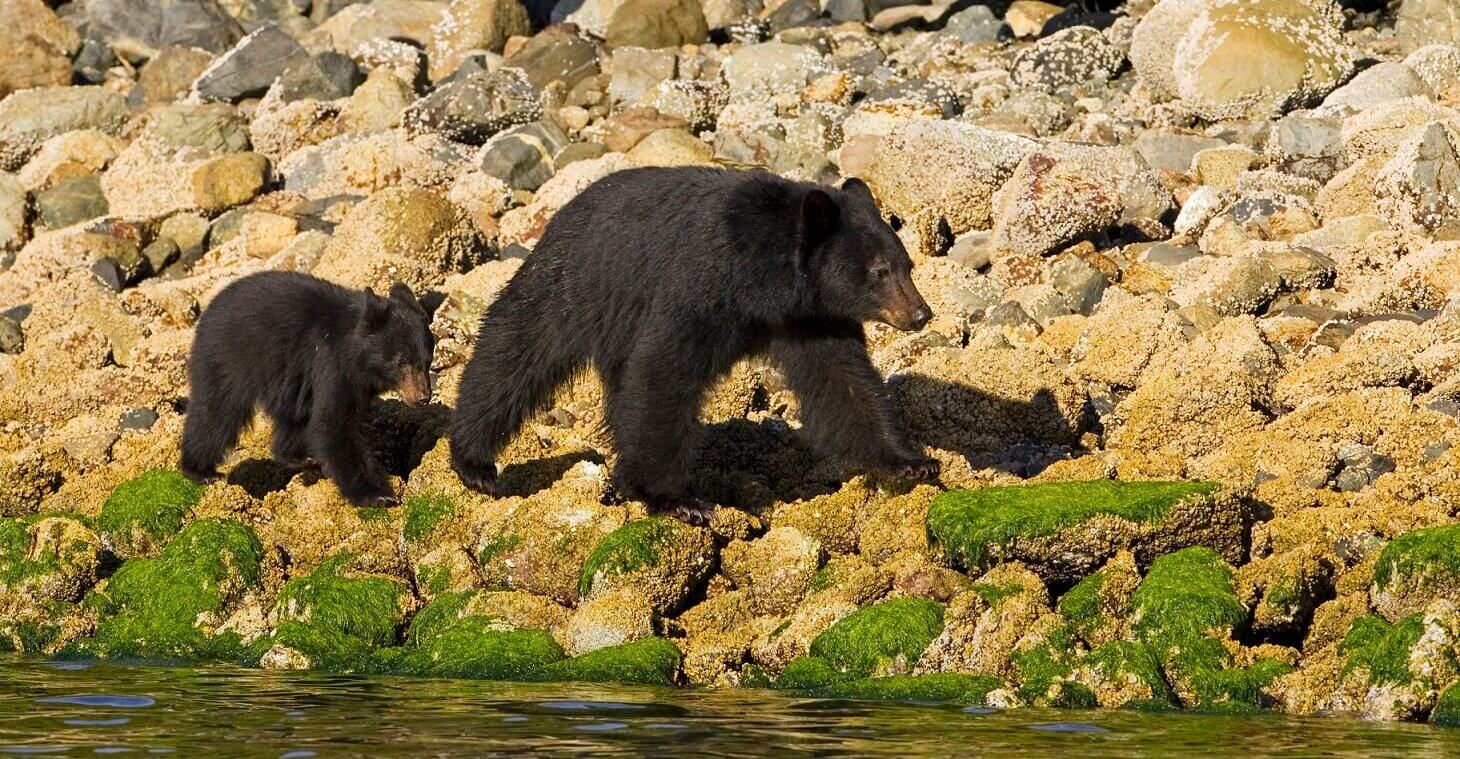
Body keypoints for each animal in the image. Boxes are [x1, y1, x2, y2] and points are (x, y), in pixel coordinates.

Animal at [180, 271, 435, 506]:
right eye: (401, 362)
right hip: (227, 358)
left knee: (292, 417)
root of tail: (208, 311)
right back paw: (200, 471)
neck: (357, 357)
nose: (423, 397)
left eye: (427, 361)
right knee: (216, 413)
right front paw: (378, 495)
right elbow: (334, 423)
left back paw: (299, 457)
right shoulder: (332, 364)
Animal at [449, 166, 938, 522]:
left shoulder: (810, 318)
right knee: (515, 349)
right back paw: (475, 461)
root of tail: (562, 211)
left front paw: (911, 460)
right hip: (575, 282)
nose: (921, 314)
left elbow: (845, 382)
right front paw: (677, 499)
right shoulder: (700, 286)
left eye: (907, 264)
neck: (764, 278)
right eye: (880, 271)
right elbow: (662, 374)